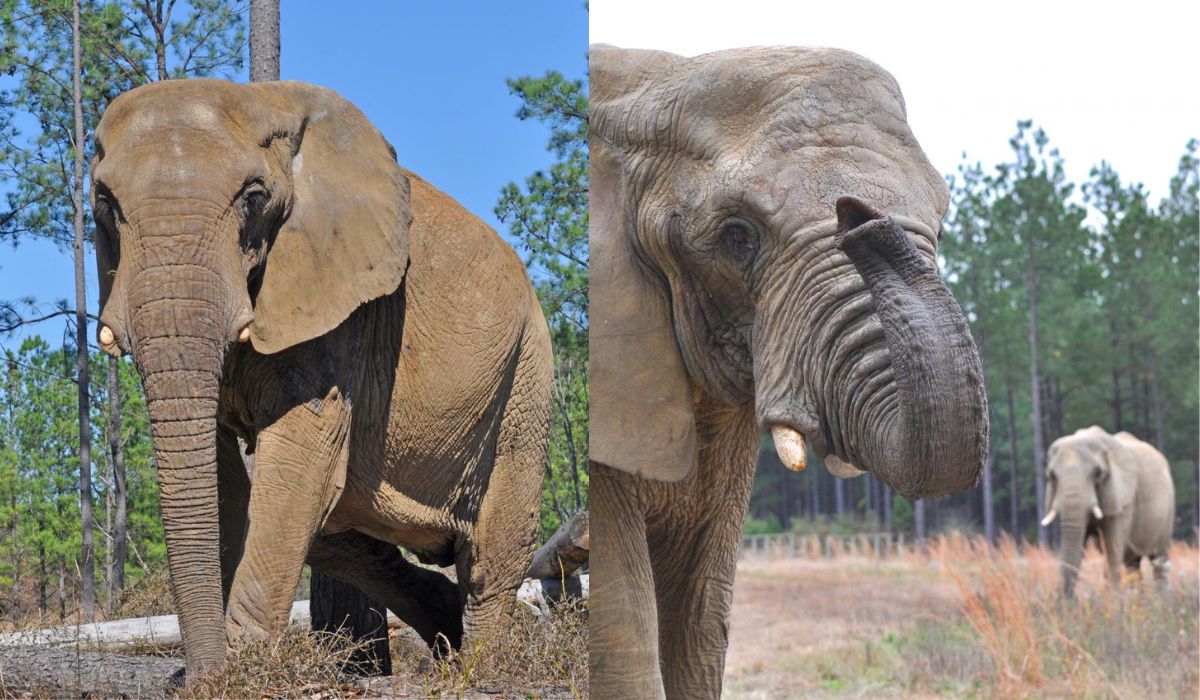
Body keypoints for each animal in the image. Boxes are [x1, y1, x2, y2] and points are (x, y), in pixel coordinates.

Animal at [90, 79, 553, 680]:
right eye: (104, 204)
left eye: (254, 199)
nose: (198, 675)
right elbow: (227, 479)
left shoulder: (342, 308)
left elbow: (299, 460)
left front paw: (243, 673)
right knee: (343, 529)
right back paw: (446, 633)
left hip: (527, 372)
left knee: (492, 553)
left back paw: (478, 667)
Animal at [588, 46, 989, 699]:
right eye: (736, 236)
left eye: (943, 222)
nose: (859, 215)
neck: (649, 84)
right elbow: (621, 630)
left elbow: (701, 620)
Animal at [1042, 426, 1175, 597]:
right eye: (1052, 476)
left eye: (1098, 473)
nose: (1067, 598)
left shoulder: (1124, 498)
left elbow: (1112, 545)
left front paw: (1113, 598)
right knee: (1133, 564)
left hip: (1169, 509)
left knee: (1158, 558)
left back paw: (1161, 597)